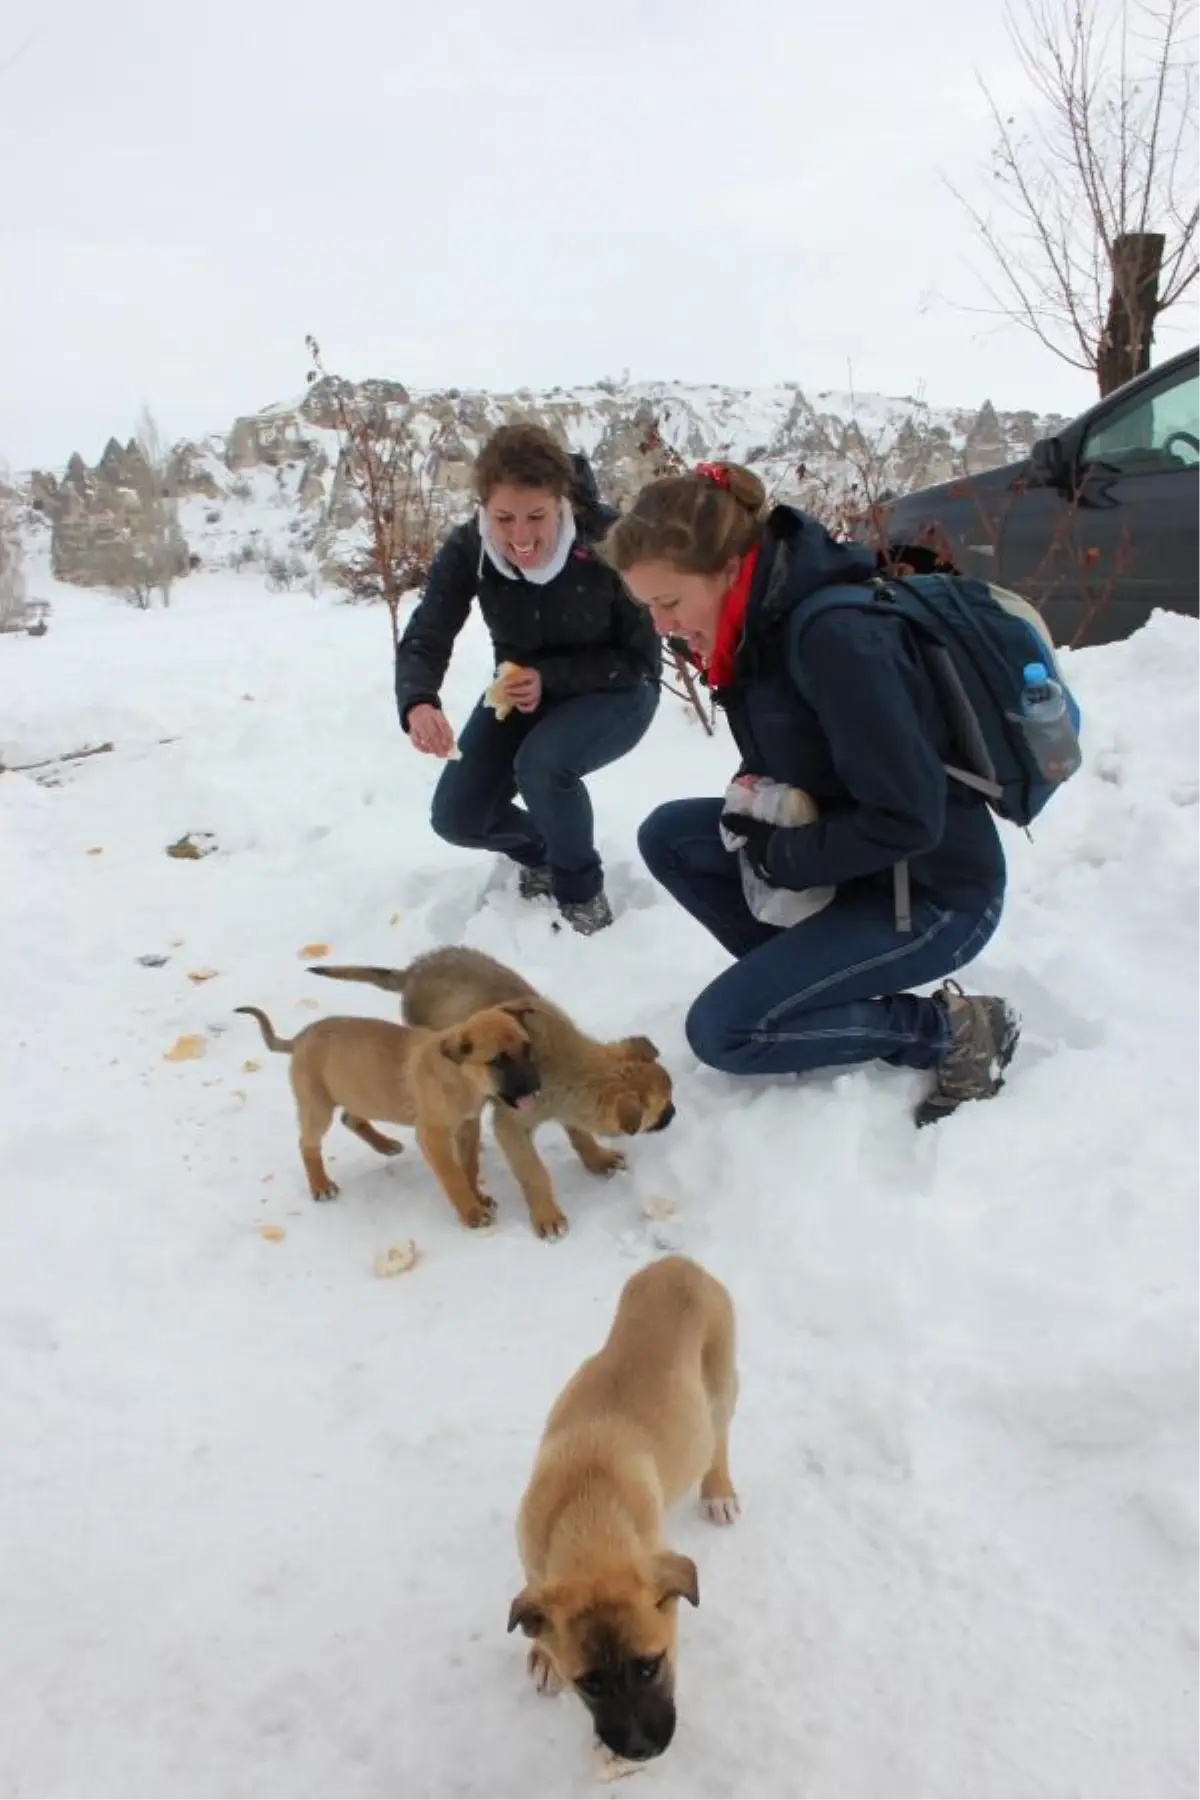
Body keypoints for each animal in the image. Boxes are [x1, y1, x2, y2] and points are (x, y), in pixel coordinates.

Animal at [233, 993, 536, 1231]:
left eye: (527, 1047)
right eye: (497, 1061)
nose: (535, 1086)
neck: (461, 1075)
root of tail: (299, 1038)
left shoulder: (468, 1127)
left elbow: (469, 1168)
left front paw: (478, 1196)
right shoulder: (433, 1136)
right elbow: (453, 1176)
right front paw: (472, 1213)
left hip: (361, 1092)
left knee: (349, 1118)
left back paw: (384, 1144)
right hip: (318, 1105)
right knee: (307, 1143)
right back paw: (320, 1185)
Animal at [307, 950, 676, 1245]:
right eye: (661, 1110)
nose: (674, 1114)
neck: (568, 1066)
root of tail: (412, 971)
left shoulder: (565, 1108)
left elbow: (579, 1134)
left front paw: (597, 1159)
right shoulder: (510, 1125)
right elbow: (534, 1173)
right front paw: (547, 1217)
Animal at [503, 1245, 737, 1764]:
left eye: (651, 1665)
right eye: (589, 1683)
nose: (641, 1751)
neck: (587, 1511)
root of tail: (678, 1263)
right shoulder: (534, 1561)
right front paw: (543, 1654)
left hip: (722, 1386)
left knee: (718, 1440)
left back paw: (719, 1491)